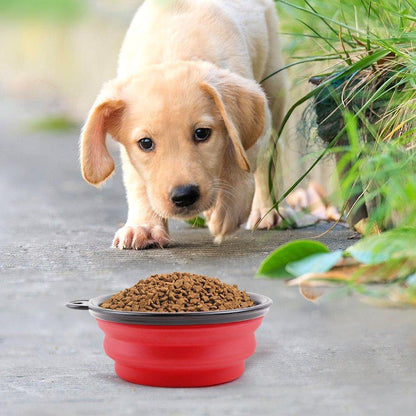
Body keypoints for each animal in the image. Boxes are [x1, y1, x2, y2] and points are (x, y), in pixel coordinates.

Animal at [81, 0, 290, 247]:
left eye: (202, 133)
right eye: (145, 143)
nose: (184, 196)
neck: (173, 49)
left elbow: (239, 159)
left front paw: (227, 210)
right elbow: (138, 184)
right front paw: (144, 226)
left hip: (273, 88)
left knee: (271, 155)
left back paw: (269, 211)